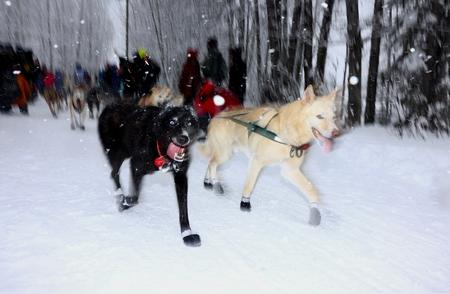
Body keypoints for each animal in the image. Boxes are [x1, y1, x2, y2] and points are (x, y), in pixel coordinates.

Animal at [100, 103, 202, 246]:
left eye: (189, 123)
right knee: (114, 173)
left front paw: (187, 233)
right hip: (117, 153)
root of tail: (110, 106)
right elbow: (133, 199)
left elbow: (183, 208)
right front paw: (124, 203)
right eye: (172, 122)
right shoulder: (136, 166)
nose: (183, 138)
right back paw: (120, 196)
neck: (160, 147)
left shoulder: (181, 176)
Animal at [202, 85, 340, 225]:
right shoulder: (256, 162)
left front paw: (315, 212)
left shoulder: (290, 170)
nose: (336, 133)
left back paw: (207, 182)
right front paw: (245, 203)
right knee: (212, 164)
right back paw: (216, 184)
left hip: (227, 154)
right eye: (320, 116)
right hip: (225, 154)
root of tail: (217, 116)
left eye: (334, 117)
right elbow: (249, 185)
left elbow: (311, 189)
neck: (285, 134)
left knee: (210, 162)